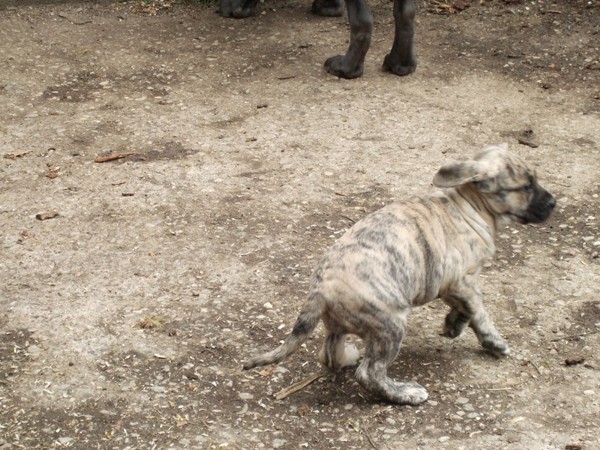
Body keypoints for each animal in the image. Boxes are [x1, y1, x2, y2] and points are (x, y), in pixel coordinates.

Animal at [244, 144, 556, 404]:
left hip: (339, 323)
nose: (553, 202)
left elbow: (464, 309)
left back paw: (348, 357)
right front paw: (492, 341)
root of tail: (321, 288)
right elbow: (479, 312)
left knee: (329, 353)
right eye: (527, 185)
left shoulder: (447, 283)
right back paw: (405, 393)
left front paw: (453, 325)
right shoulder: (462, 281)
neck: (471, 206)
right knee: (370, 372)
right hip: (390, 323)